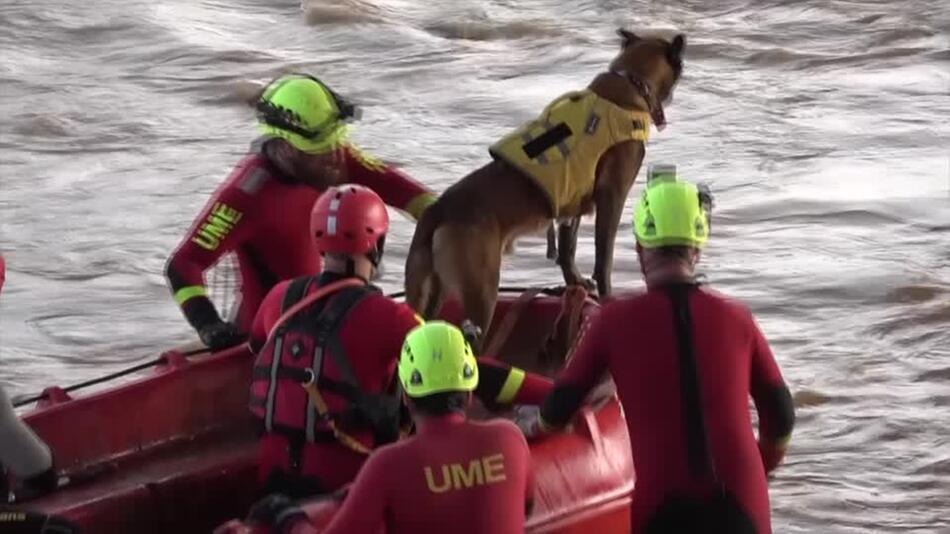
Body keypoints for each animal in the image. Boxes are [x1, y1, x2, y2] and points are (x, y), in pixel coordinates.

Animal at [406, 29, 688, 340]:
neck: (630, 82)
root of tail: (439, 209)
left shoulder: (571, 207)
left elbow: (567, 250)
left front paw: (575, 285)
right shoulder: (612, 197)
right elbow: (604, 257)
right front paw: (606, 295)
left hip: (432, 292)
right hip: (482, 291)